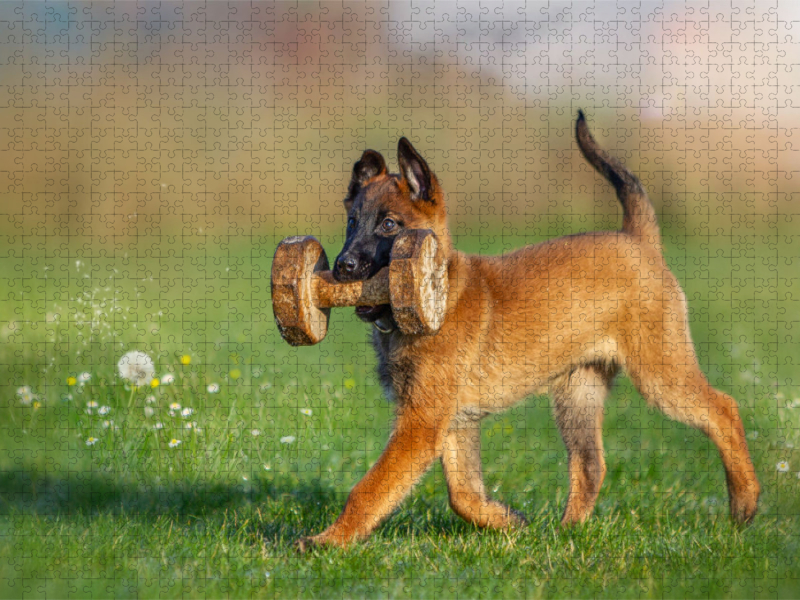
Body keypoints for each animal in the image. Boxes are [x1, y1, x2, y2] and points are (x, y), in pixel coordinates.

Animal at [296, 110, 760, 552]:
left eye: (389, 225)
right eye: (352, 222)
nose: (342, 267)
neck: (439, 293)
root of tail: (637, 239)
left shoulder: (422, 423)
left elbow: (370, 489)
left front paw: (328, 541)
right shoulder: (452, 422)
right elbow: (462, 494)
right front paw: (507, 521)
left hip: (660, 371)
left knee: (724, 409)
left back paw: (745, 502)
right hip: (578, 392)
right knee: (591, 465)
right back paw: (566, 533)